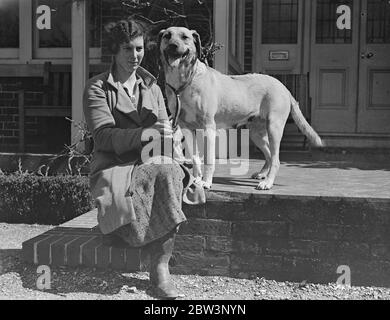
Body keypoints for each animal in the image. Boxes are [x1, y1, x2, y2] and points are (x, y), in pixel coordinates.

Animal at [158, 27, 322, 190]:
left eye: (184, 37)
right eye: (167, 35)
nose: (172, 45)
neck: (184, 81)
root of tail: (284, 87)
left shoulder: (208, 127)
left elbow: (209, 159)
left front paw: (206, 182)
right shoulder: (186, 127)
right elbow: (195, 158)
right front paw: (196, 179)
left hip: (274, 128)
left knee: (276, 159)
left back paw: (267, 182)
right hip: (256, 133)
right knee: (269, 154)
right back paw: (262, 174)